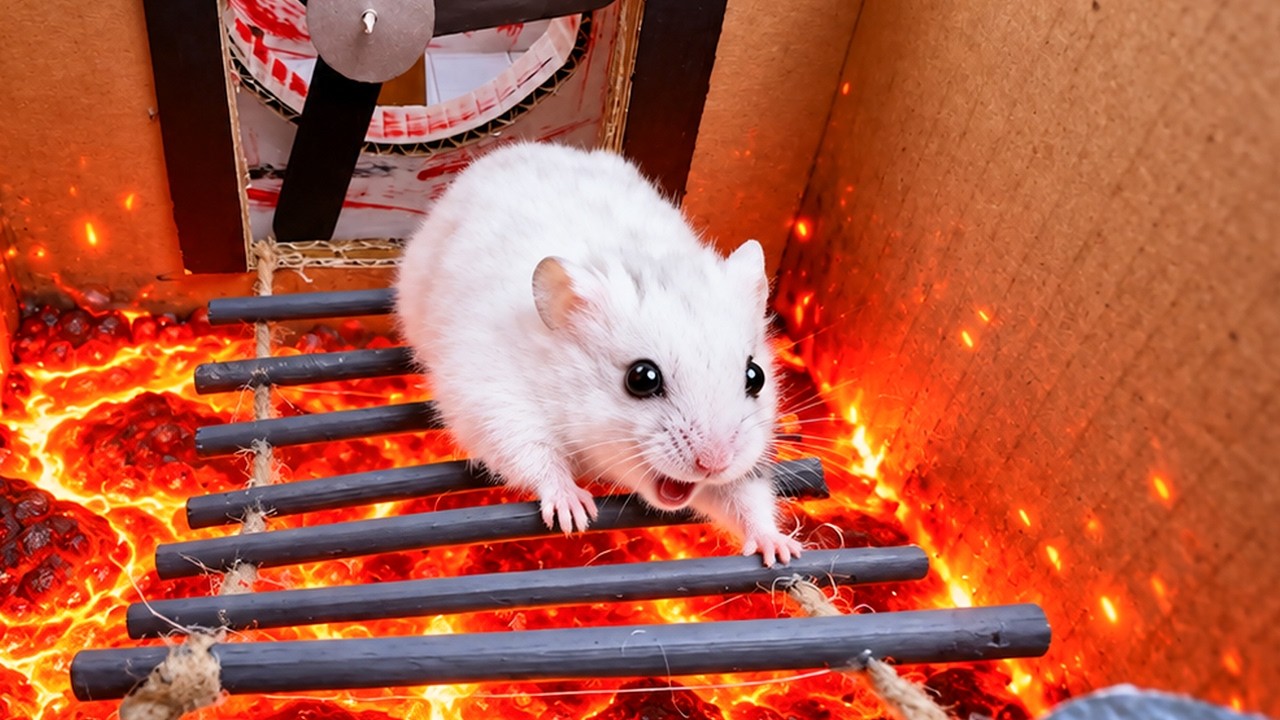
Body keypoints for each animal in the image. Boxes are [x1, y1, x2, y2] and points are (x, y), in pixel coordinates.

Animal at [394, 142, 803, 566]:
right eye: (641, 378)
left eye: (755, 376)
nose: (714, 463)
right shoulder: (495, 403)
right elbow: (536, 456)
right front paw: (575, 513)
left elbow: (743, 497)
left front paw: (782, 551)